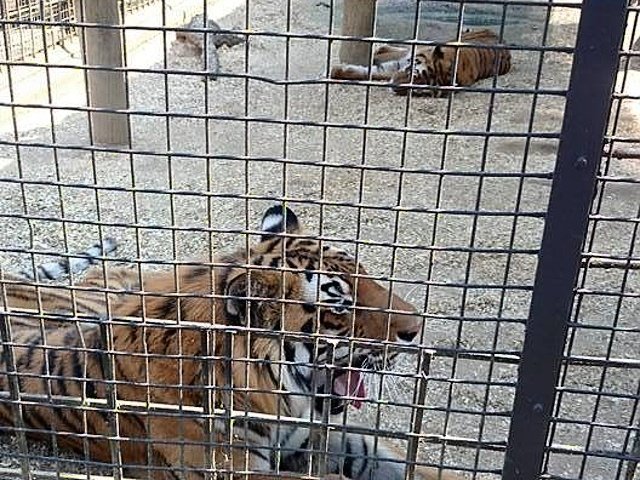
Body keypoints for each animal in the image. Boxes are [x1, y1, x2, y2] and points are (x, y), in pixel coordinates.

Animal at [0, 205, 463, 480]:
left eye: (366, 274)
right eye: (341, 304)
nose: (416, 328)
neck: (280, 396)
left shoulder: (313, 437)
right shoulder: (242, 469)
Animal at [330, 28, 512, 97]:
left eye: (419, 90)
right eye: (412, 74)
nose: (393, 87)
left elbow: (375, 72)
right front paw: (335, 71)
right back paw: (381, 48)